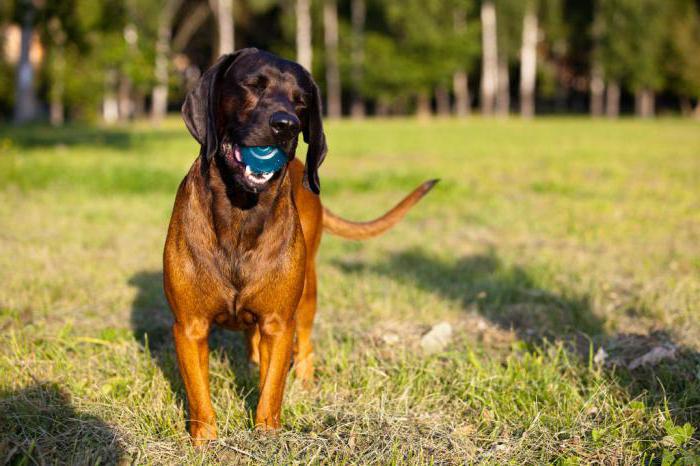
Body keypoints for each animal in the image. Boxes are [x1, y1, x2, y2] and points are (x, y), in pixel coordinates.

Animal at [164, 48, 438, 444]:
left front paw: (267, 436)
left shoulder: (280, 323)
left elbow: (271, 389)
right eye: (253, 85)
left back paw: (305, 383)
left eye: (302, 102)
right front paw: (205, 441)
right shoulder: (189, 326)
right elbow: (200, 395)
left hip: (308, 290)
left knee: (305, 342)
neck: (240, 215)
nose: (286, 125)